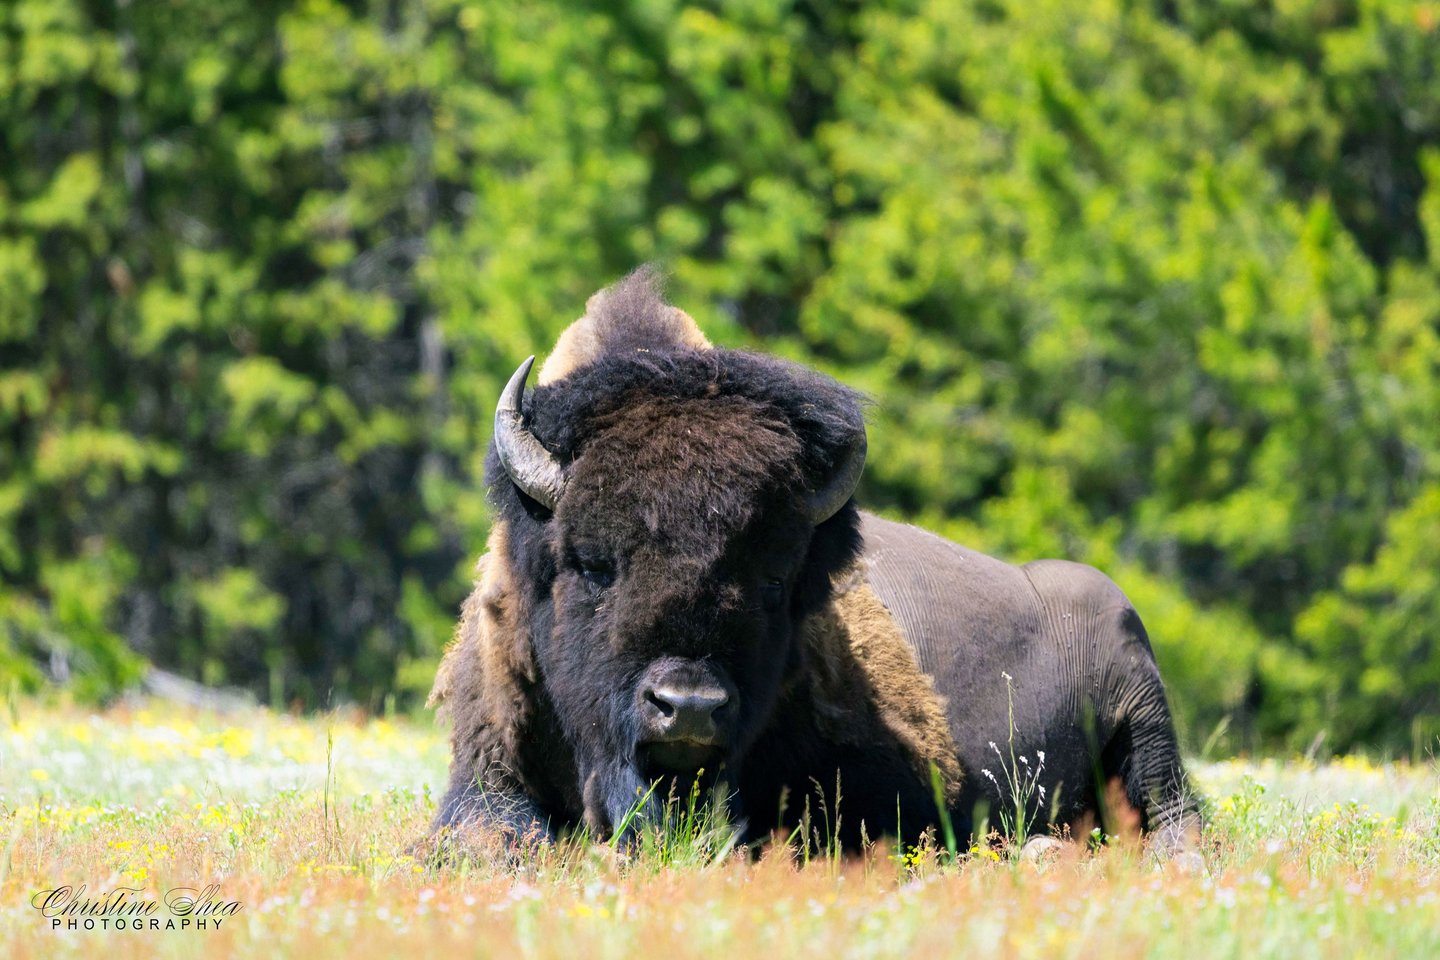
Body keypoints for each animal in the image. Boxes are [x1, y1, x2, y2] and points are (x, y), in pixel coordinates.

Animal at [429, 268, 1200, 855]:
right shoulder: (488, 772)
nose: (689, 708)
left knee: (1175, 819)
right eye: (592, 564)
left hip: (1144, 713)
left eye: (775, 580)